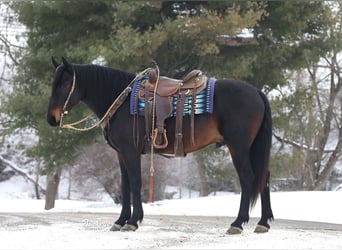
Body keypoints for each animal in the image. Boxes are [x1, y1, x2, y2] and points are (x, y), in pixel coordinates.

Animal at [46, 56, 274, 234]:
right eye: (52, 84)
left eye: (65, 85)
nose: (51, 119)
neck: (121, 100)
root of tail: (257, 92)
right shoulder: (121, 154)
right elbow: (125, 185)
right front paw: (120, 221)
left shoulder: (130, 151)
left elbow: (135, 183)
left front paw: (133, 221)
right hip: (253, 148)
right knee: (264, 178)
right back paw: (263, 223)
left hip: (239, 147)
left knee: (249, 178)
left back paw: (237, 223)